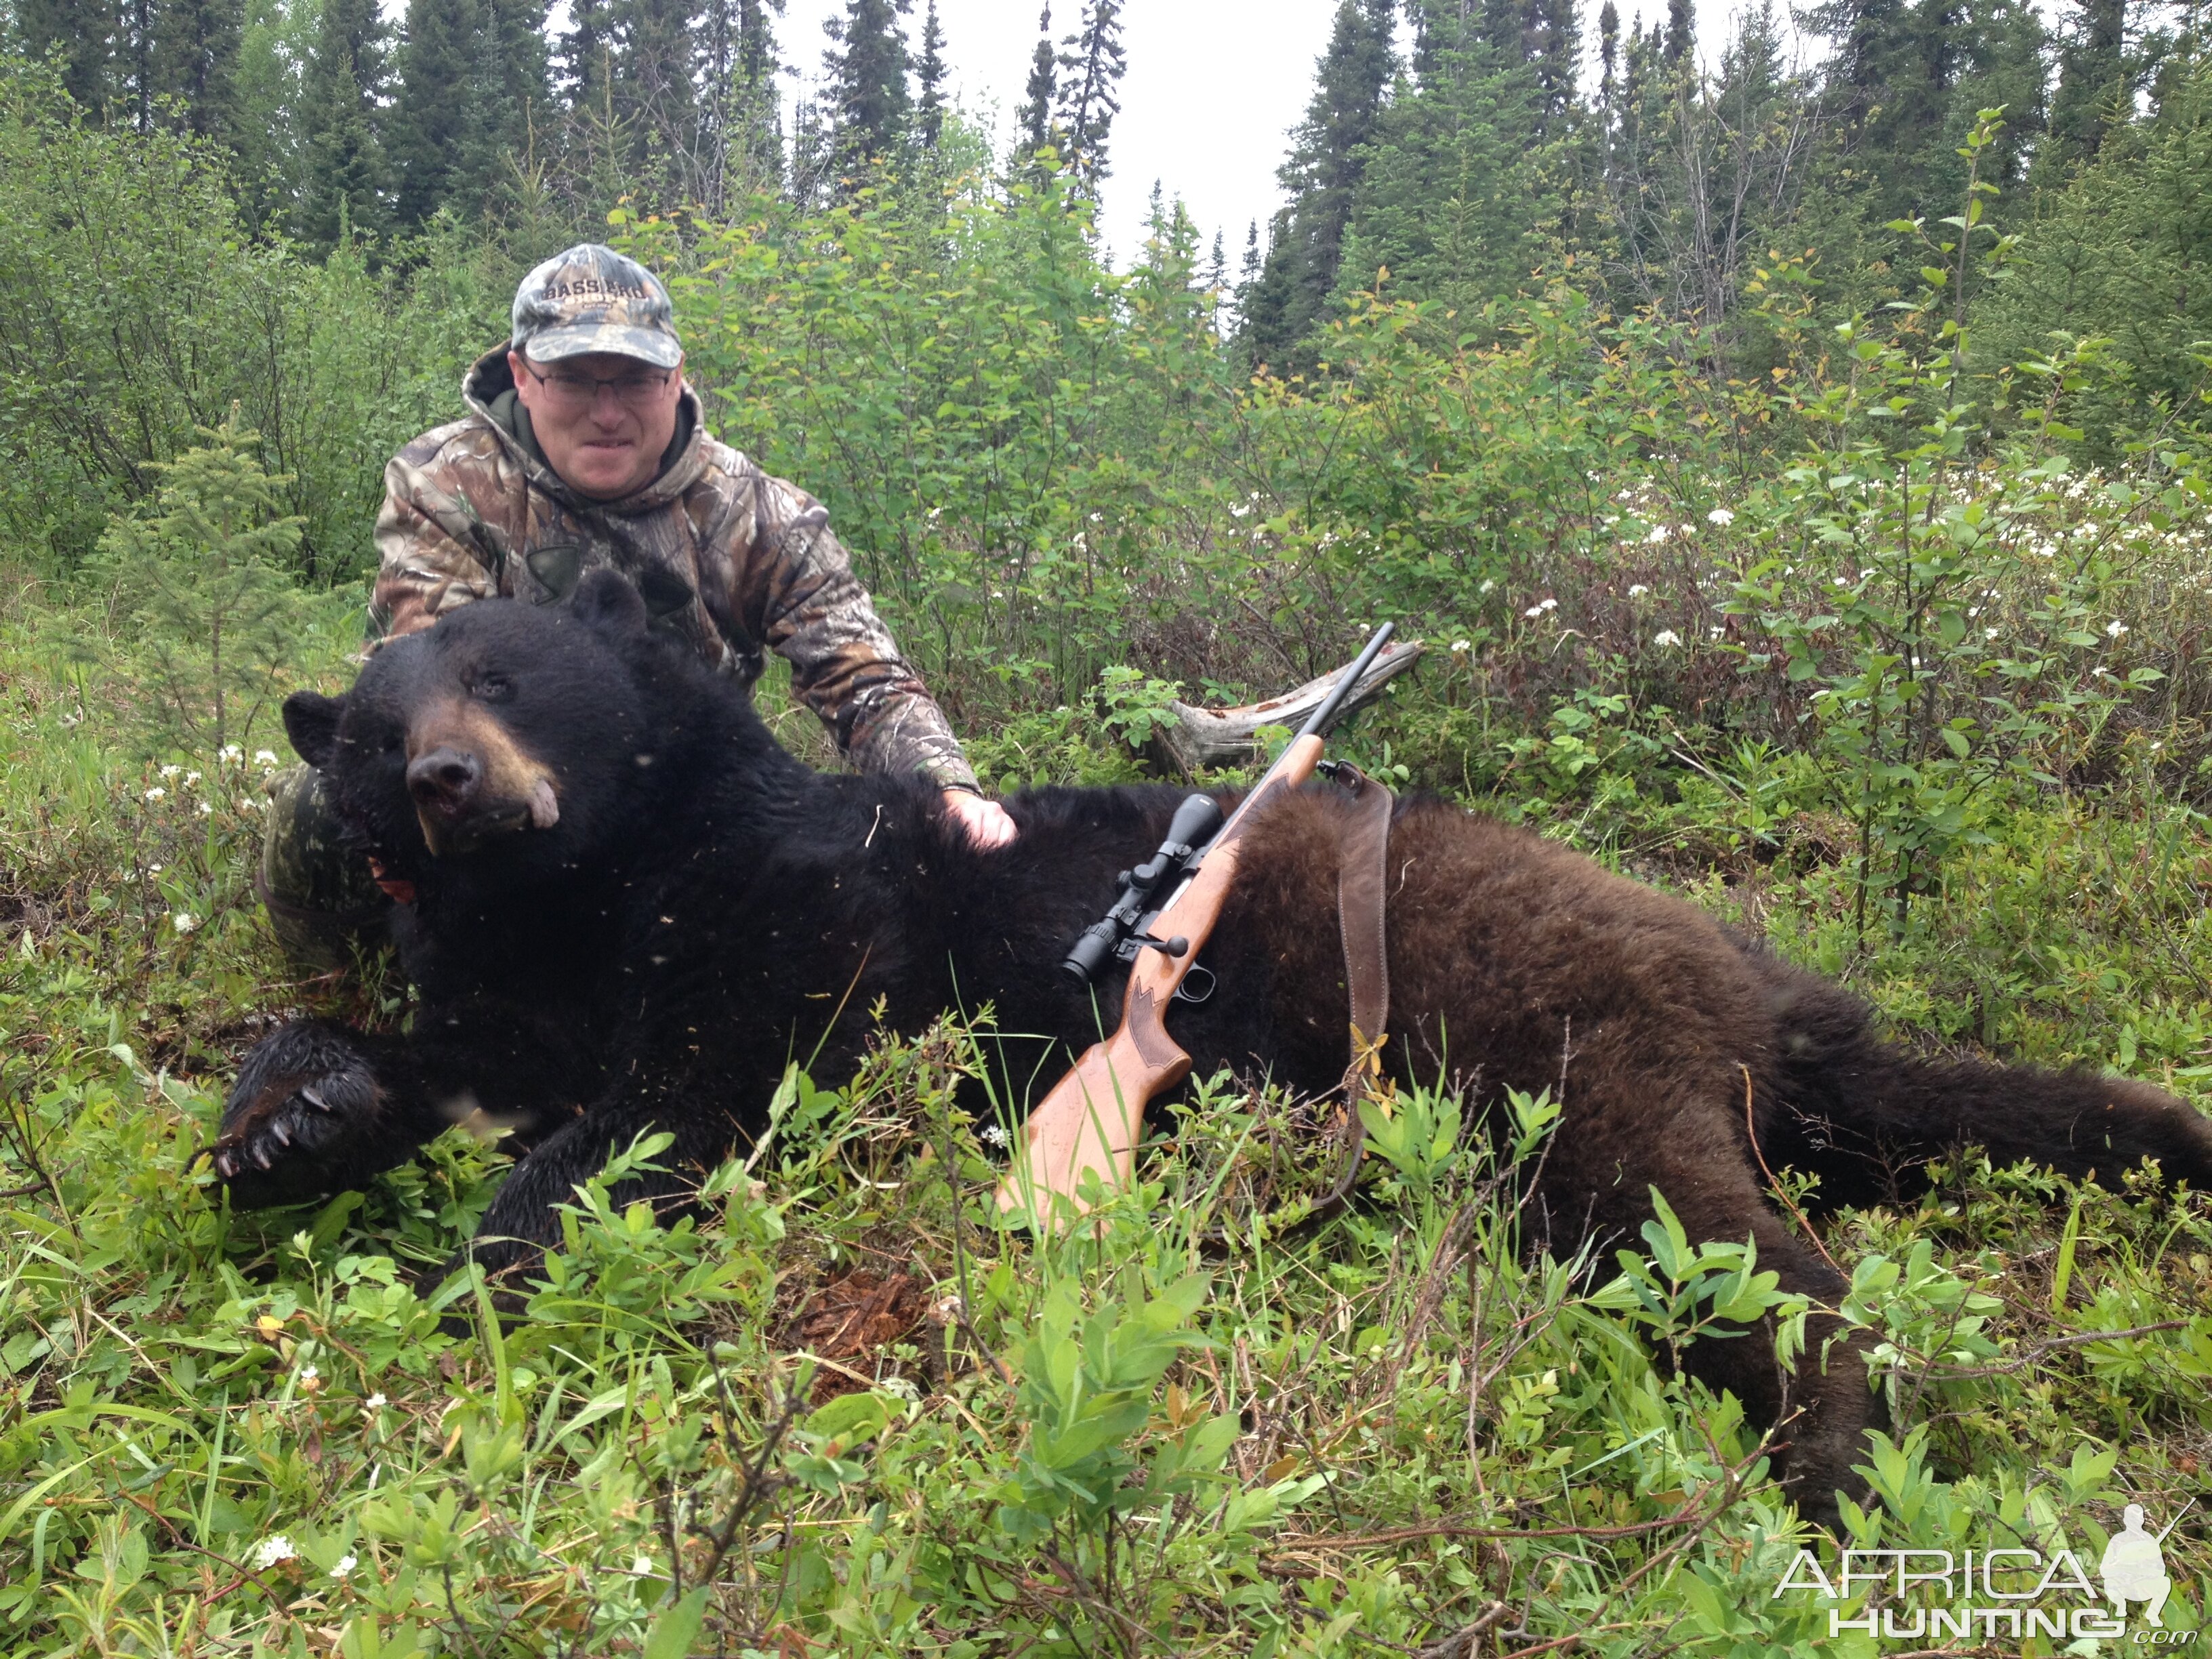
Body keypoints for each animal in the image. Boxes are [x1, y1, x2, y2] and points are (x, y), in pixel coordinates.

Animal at [216, 571, 2212, 1521]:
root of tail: (1748, 974)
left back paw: (1828, 1457)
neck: (586, 885)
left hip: (1557, 1051)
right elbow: (416, 1050)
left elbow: (675, 1103)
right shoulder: (506, 985)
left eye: (510, 672)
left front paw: (496, 1258)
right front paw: (283, 1124)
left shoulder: (791, 950)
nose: (453, 780)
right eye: (380, 723)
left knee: (1734, 1247)